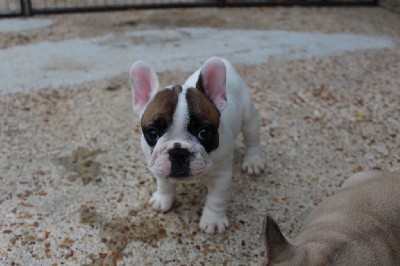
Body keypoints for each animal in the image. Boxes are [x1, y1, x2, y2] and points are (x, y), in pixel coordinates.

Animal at [130, 57, 264, 234]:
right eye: (153, 133)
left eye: (203, 132)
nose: (178, 151)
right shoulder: (159, 165)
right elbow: (164, 184)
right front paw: (162, 199)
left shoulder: (221, 176)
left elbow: (216, 199)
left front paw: (213, 220)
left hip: (249, 118)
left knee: (252, 139)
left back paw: (253, 162)